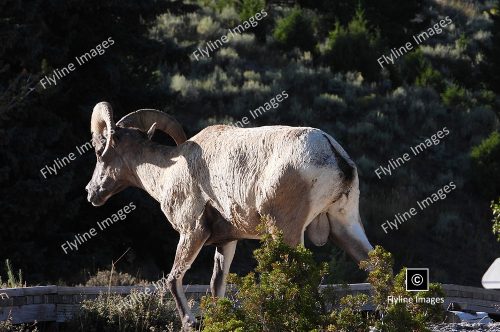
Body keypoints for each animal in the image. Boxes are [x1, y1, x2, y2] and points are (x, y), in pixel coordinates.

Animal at [87, 100, 376, 326]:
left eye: (101, 153)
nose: (91, 193)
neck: (168, 172)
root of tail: (332, 152)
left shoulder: (192, 232)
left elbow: (173, 279)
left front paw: (190, 322)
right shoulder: (226, 242)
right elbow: (217, 286)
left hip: (286, 231)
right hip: (345, 225)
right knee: (374, 266)